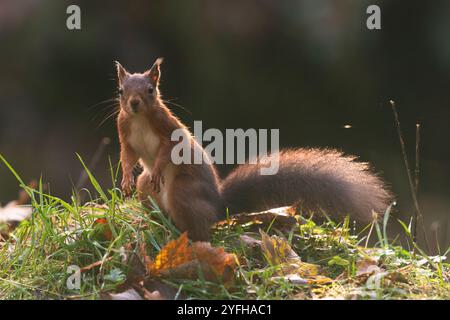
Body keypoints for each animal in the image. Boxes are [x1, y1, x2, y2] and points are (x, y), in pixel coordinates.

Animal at [115, 58, 390, 241]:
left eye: (151, 90)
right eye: (121, 91)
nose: (134, 103)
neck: (139, 119)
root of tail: (219, 207)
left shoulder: (168, 129)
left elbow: (168, 150)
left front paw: (158, 168)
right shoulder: (125, 131)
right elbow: (127, 156)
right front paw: (126, 178)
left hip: (183, 191)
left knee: (198, 229)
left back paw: (183, 237)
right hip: (146, 188)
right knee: (153, 197)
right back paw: (151, 223)